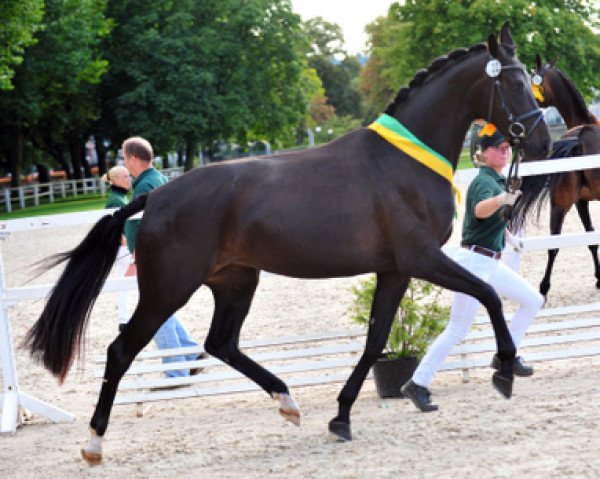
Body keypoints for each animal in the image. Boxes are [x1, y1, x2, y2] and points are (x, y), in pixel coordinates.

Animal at [22, 23, 548, 464]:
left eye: (530, 79)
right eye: (513, 83)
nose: (541, 140)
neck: (403, 163)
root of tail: (157, 197)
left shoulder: (396, 269)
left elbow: (376, 340)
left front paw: (341, 417)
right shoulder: (421, 258)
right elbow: (487, 295)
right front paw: (504, 372)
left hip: (235, 282)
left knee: (221, 343)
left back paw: (287, 400)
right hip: (167, 289)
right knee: (122, 351)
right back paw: (94, 443)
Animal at [510, 54, 600, 298]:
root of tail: (580, 138)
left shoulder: (581, 202)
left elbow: (591, 239)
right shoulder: (583, 202)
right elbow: (592, 238)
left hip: (560, 202)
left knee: (554, 244)